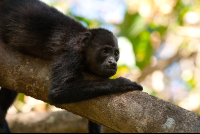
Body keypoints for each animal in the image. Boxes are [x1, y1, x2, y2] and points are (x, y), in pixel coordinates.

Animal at [0, 0, 143, 132]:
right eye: (105, 51)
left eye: (116, 53)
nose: (113, 62)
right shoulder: (72, 52)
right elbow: (58, 91)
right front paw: (121, 83)